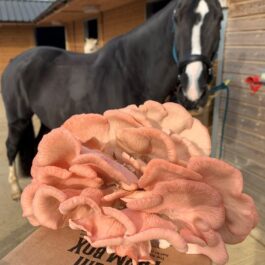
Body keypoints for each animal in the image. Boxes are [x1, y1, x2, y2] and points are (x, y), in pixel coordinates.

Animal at [1, 0, 222, 198]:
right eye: (177, 18)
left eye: (219, 18)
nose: (193, 89)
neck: (132, 72)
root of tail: (16, 61)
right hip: (18, 119)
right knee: (11, 146)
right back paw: (16, 190)